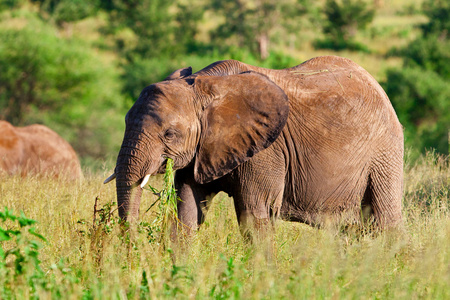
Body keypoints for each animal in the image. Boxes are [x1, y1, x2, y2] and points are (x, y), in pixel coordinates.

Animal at [105, 55, 404, 236]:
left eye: (169, 134)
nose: (133, 248)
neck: (207, 85)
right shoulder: (201, 151)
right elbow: (187, 211)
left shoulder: (266, 151)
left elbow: (254, 216)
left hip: (384, 150)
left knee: (385, 220)